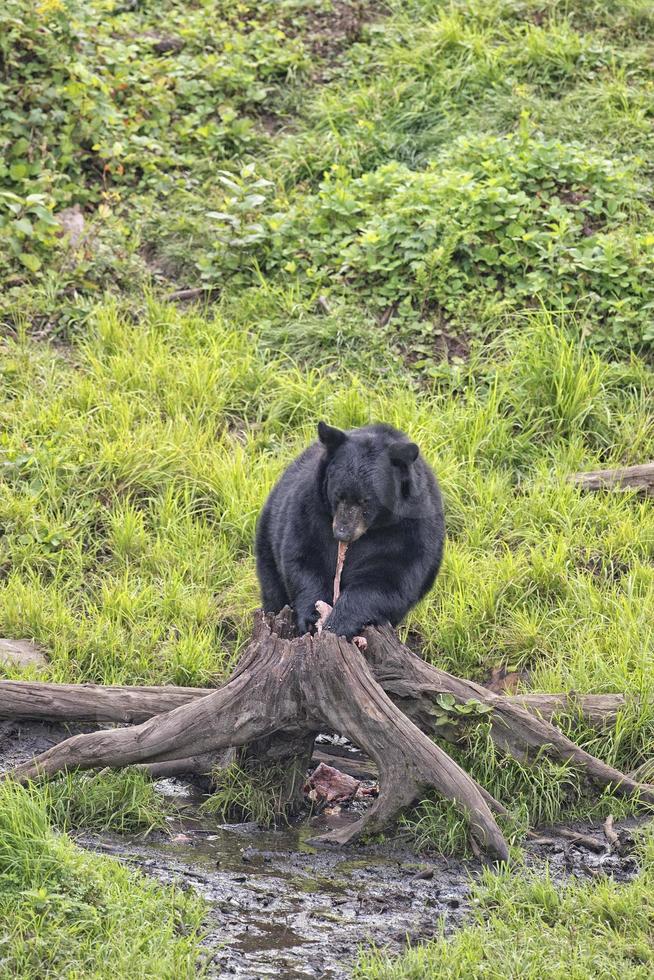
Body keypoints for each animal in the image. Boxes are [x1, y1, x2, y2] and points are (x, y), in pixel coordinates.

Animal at [255, 420, 446, 636]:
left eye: (366, 501)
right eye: (338, 495)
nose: (342, 533)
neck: (373, 529)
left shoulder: (411, 528)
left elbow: (390, 577)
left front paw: (338, 622)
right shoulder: (309, 509)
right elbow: (304, 557)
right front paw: (312, 616)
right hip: (268, 536)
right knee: (273, 588)